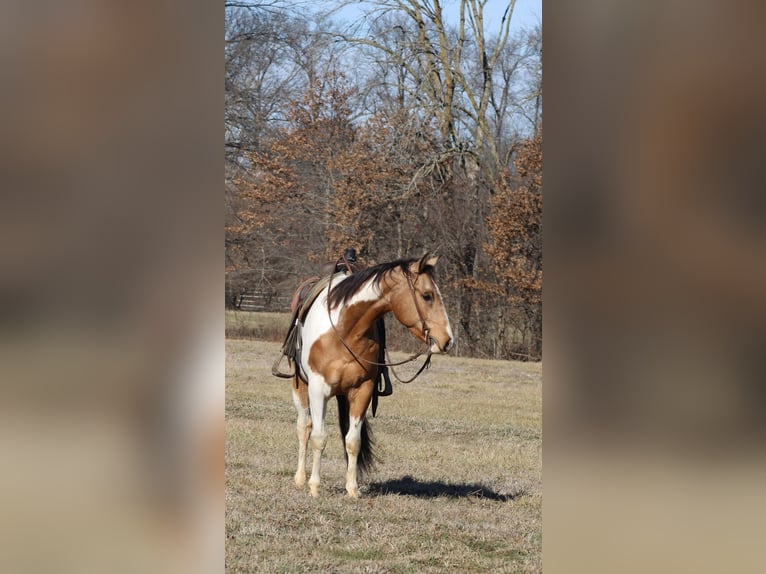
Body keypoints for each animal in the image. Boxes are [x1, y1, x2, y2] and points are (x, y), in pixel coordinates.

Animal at [291, 253, 454, 497]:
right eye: (427, 295)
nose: (448, 339)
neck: (345, 329)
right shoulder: (318, 389)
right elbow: (319, 437)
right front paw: (315, 487)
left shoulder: (363, 390)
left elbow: (353, 441)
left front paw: (352, 489)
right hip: (300, 386)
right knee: (304, 427)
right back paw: (300, 479)